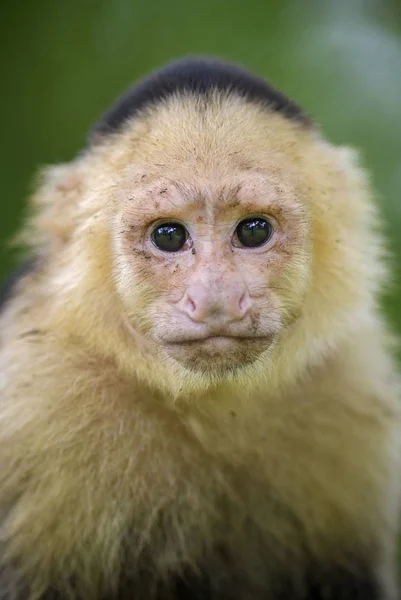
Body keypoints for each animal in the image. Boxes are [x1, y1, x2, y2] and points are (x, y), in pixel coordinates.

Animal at [0, 57, 400, 600]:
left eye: (254, 230)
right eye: (169, 236)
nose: (214, 298)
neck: (210, 406)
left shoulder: (351, 386)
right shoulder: (33, 401)